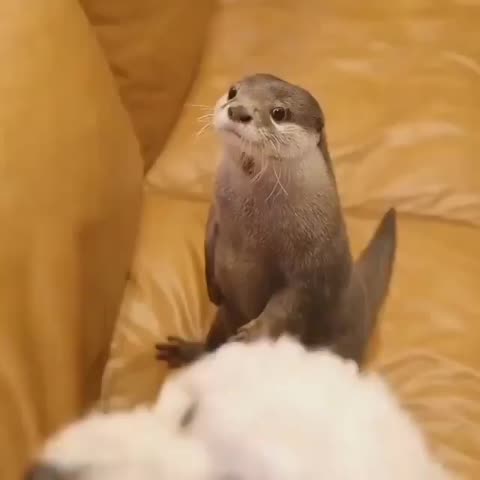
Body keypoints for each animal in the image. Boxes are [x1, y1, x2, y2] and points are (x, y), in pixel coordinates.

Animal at [156, 73, 397, 367]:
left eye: (279, 112)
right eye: (233, 91)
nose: (238, 110)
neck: (251, 224)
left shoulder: (311, 260)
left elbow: (290, 303)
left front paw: (251, 337)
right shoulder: (215, 215)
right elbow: (208, 243)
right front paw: (212, 289)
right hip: (222, 319)